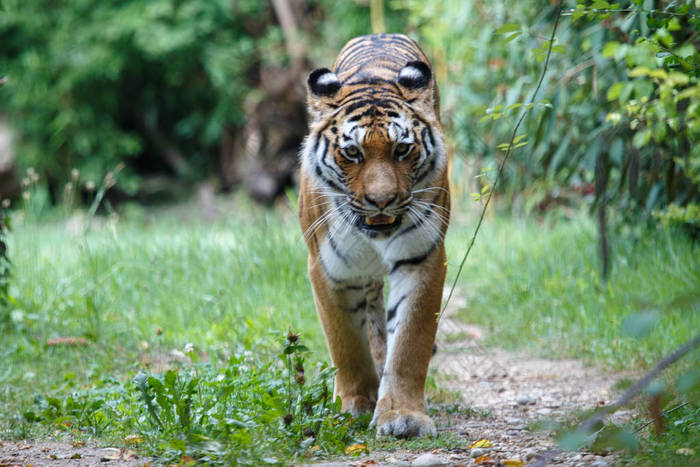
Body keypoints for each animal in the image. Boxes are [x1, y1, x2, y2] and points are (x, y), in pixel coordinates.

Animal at [296, 33, 448, 438]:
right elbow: (345, 342)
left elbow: (410, 342)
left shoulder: (421, 258)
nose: (381, 201)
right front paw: (355, 404)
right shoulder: (327, 268)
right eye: (352, 152)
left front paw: (403, 416)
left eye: (402, 149)